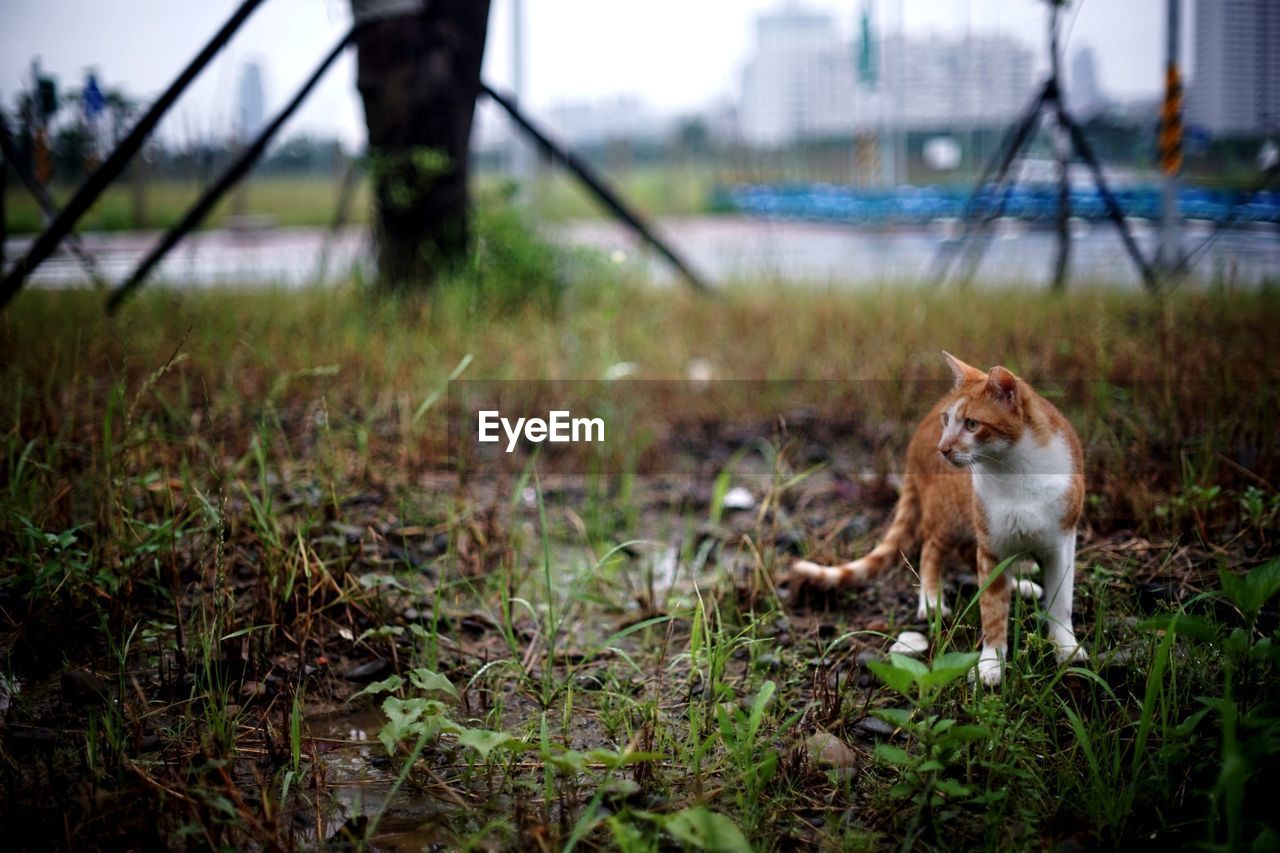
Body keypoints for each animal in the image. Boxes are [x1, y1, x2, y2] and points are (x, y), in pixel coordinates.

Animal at [793, 350, 1085, 686]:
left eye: (972, 424)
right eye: (948, 421)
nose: (943, 448)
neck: (1016, 472)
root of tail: (917, 438)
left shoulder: (1062, 542)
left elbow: (1061, 601)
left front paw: (1066, 648)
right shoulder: (991, 545)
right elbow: (992, 609)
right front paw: (991, 662)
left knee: (966, 552)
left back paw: (1017, 586)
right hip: (949, 515)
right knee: (932, 550)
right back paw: (932, 600)